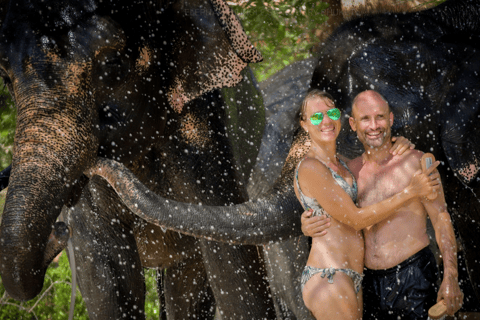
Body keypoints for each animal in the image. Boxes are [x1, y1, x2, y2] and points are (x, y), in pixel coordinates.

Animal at [0, 0, 288, 318]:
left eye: (112, 62)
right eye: (5, 78)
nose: (60, 230)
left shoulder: (206, 127)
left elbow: (231, 261)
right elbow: (106, 268)